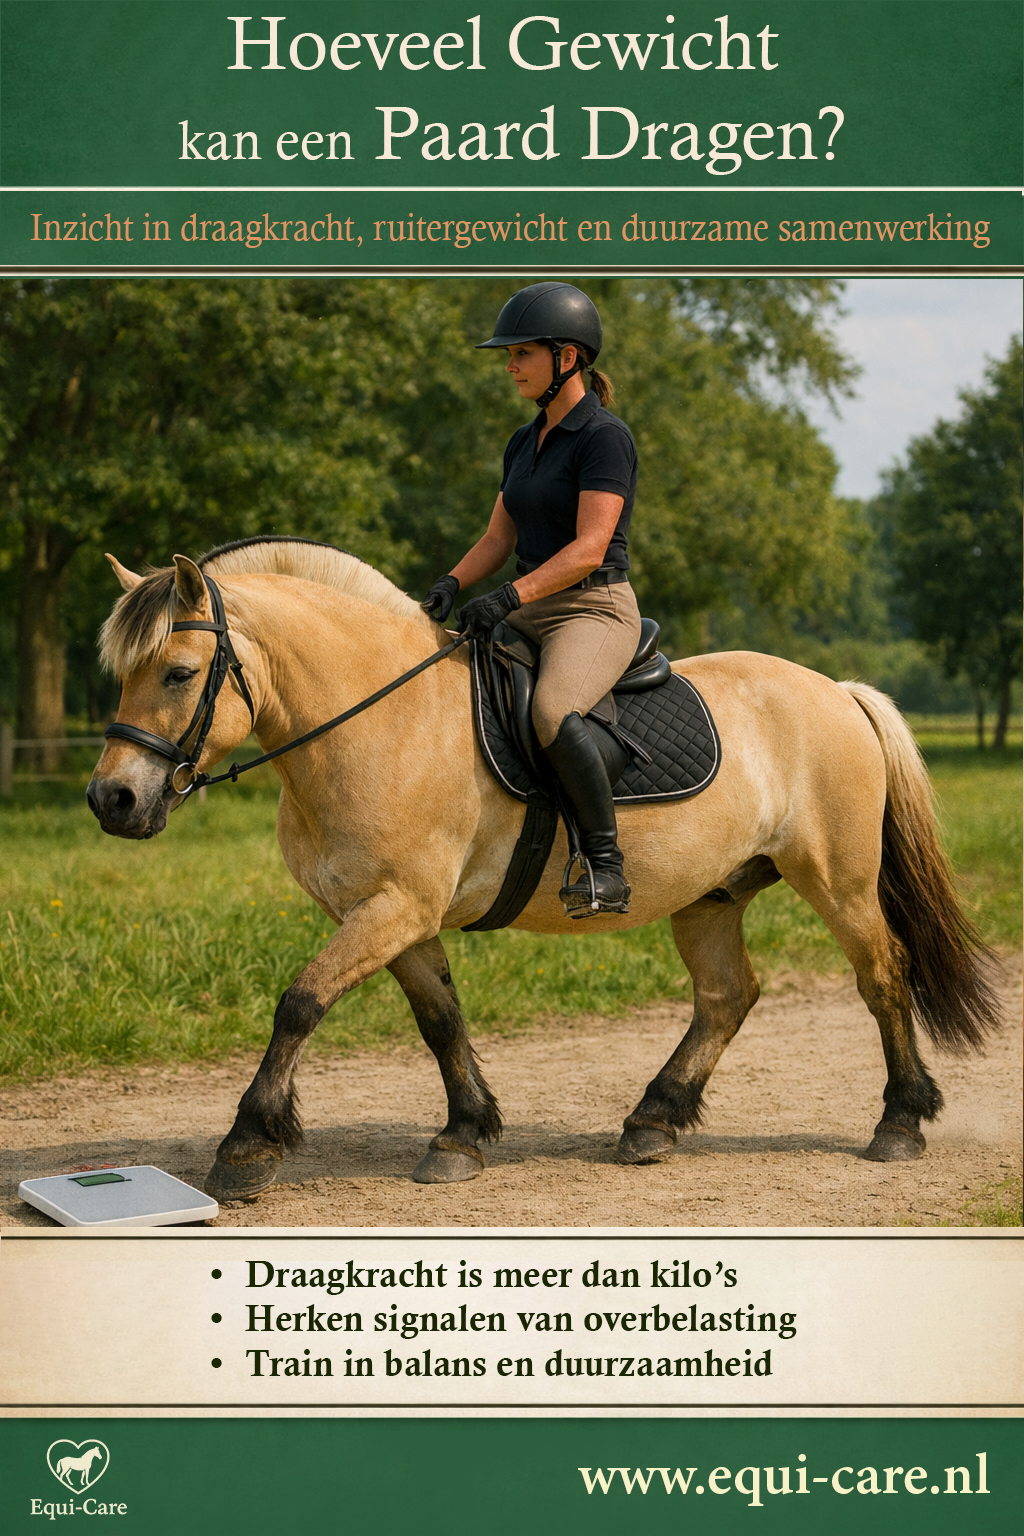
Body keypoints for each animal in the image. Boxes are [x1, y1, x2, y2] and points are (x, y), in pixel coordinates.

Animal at [87, 537, 999, 1203]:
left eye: (177, 672)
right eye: (122, 674)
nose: (112, 799)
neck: (379, 718)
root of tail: (837, 692)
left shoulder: (395, 906)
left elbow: (300, 1003)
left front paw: (246, 1147)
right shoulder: (392, 916)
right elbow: (441, 1020)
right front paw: (462, 1135)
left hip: (839, 881)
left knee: (882, 976)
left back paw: (899, 1124)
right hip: (711, 896)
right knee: (726, 996)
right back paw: (652, 1121)